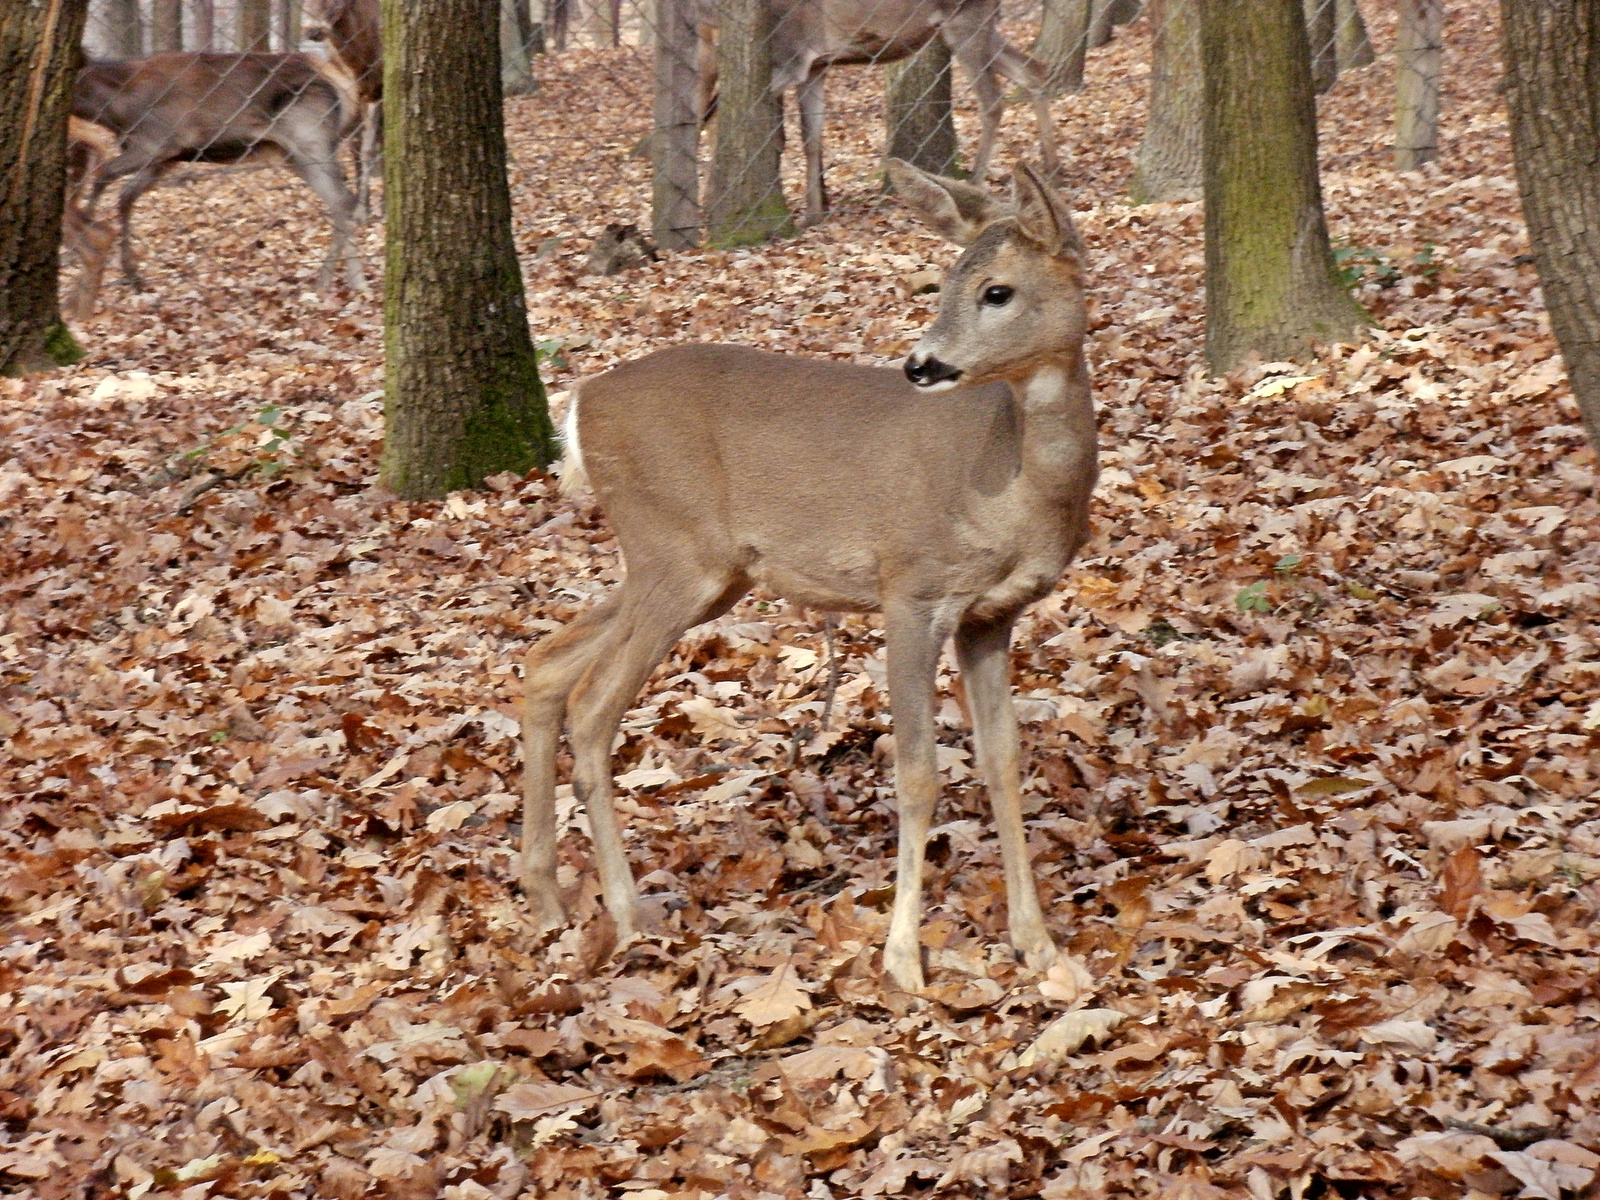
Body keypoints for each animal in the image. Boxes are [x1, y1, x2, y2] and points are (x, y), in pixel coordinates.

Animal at [72, 51, 366, 296]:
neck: (117, 111)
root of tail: (342, 86)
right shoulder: (164, 159)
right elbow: (125, 196)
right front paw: (132, 275)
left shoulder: (158, 141)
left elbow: (104, 175)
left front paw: (83, 236)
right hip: (291, 154)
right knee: (343, 199)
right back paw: (342, 279)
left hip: (309, 138)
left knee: (342, 199)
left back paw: (340, 280)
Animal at [524, 160, 1100, 998]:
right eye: (945, 280)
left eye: (997, 290)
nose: (921, 364)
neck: (1016, 483)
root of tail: (579, 404)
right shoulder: (911, 586)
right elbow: (919, 773)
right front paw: (902, 959)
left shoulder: (992, 615)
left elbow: (1003, 761)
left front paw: (1039, 945)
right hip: (673, 551)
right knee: (594, 706)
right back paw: (630, 918)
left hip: (698, 570)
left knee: (545, 665)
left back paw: (547, 897)